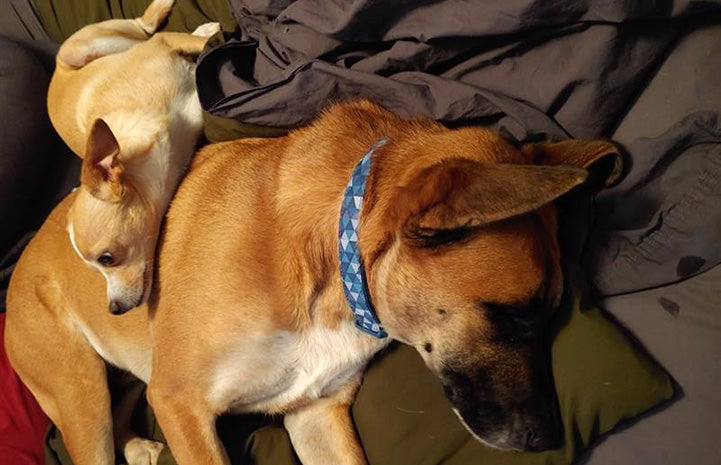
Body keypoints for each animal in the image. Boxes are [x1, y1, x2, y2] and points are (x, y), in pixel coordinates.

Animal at [47, 0, 218, 314]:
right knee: (142, 30)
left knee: (143, 27)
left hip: (84, 48)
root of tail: (56, 69)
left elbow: (189, 44)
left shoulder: (165, 44)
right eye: (96, 270)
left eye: (107, 259)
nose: (114, 309)